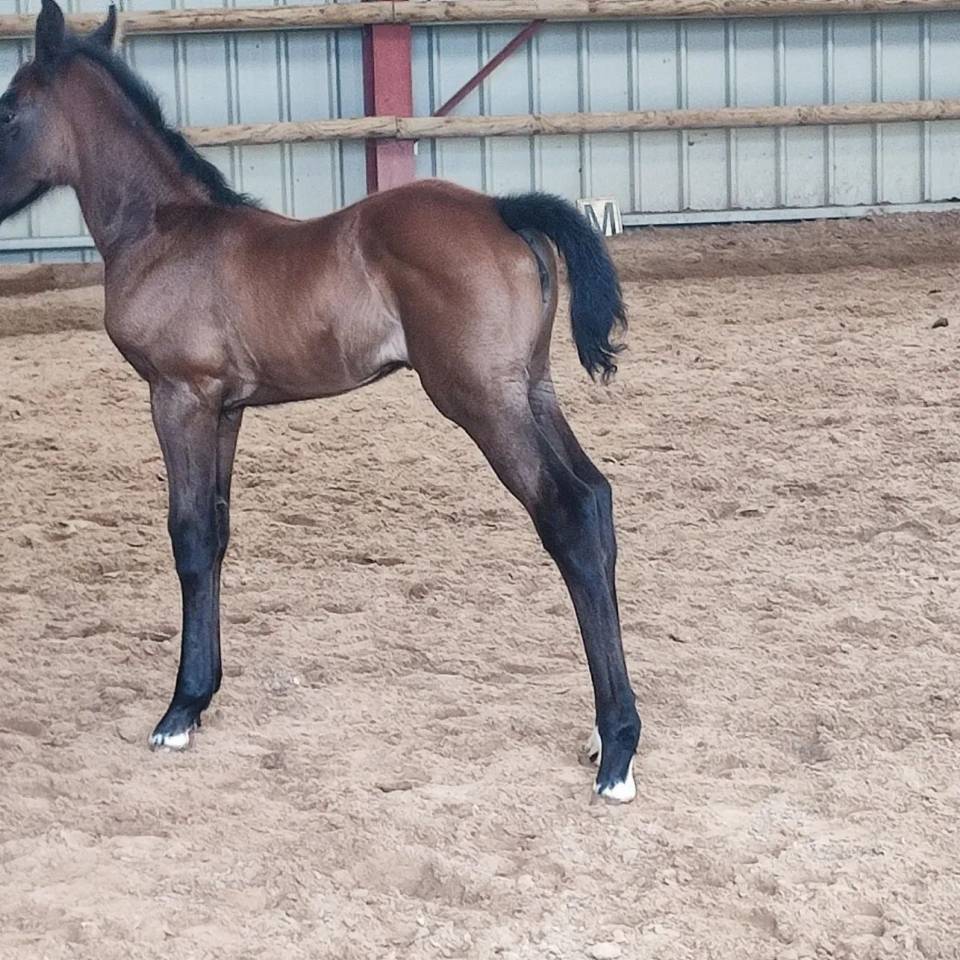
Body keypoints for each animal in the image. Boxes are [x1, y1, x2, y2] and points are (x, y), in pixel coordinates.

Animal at [1, 0, 641, 802]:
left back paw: (618, 749)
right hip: (531, 389)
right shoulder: (226, 407)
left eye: (8, 108)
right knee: (598, 498)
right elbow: (216, 533)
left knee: (569, 513)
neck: (163, 230)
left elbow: (188, 537)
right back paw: (602, 736)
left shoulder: (178, 395)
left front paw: (178, 712)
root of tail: (501, 208)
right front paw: (202, 695)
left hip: (481, 401)